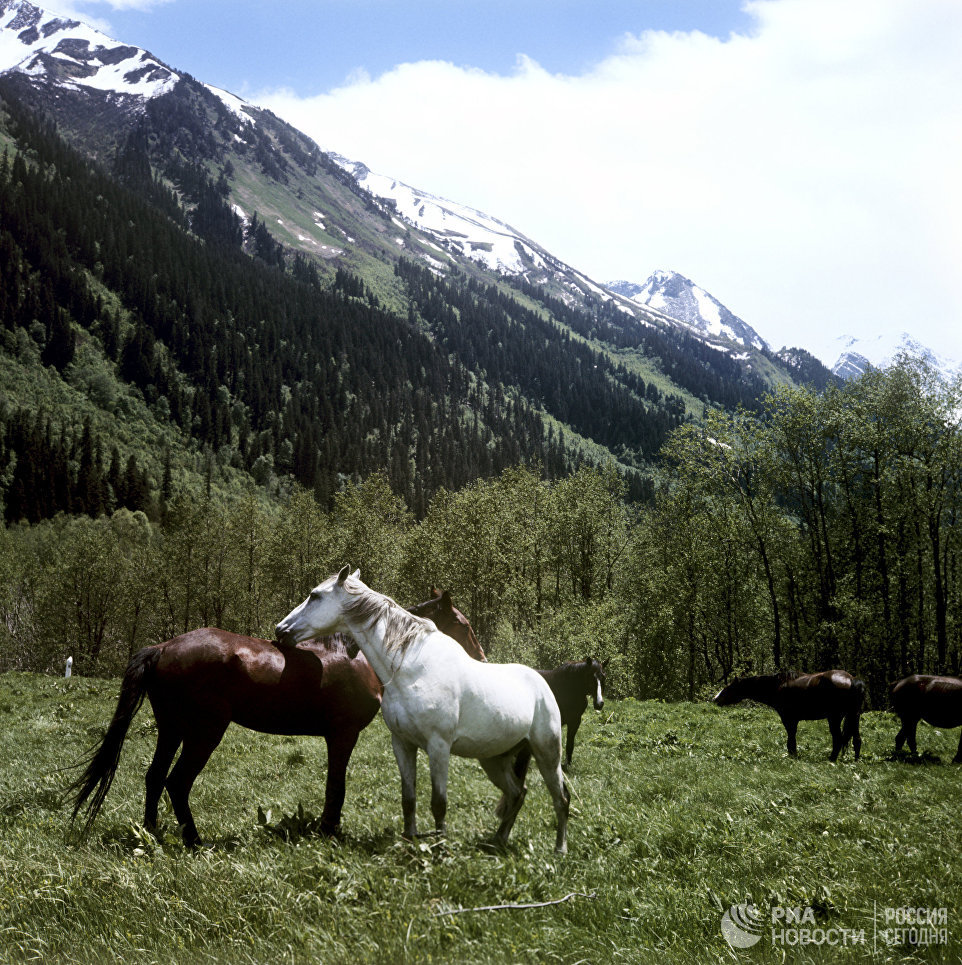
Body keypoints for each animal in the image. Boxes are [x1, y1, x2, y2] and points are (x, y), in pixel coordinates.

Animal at [71, 588, 484, 844]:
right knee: (177, 782)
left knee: (155, 777)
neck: (358, 655)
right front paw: (329, 830)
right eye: (464, 624)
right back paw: (194, 841)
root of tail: (163, 647)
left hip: (172, 729)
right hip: (204, 732)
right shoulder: (343, 734)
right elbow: (336, 786)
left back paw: (152, 833)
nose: (479, 657)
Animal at [272, 564, 568, 852]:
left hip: (547, 752)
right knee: (518, 793)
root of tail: (541, 683)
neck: (412, 668)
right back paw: (498, 841)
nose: (280, 629)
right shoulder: (402, 744)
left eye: (315, 596)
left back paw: (560, 849)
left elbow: (439, 803)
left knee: (561, 798)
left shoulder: (439, 746)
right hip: (494, 759)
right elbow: (409, 798)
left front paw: (439, 849)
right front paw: (410, 840)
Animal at [712, 672, 864, 760]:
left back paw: (831, 759)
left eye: (729, 688)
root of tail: (852, 680)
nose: (715, 699)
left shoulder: (788, 719)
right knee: (856, 740)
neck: (777, 686)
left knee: (838, 739)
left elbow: (791, 740)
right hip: (854, 716)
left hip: (834, 718)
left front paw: (793, 756)